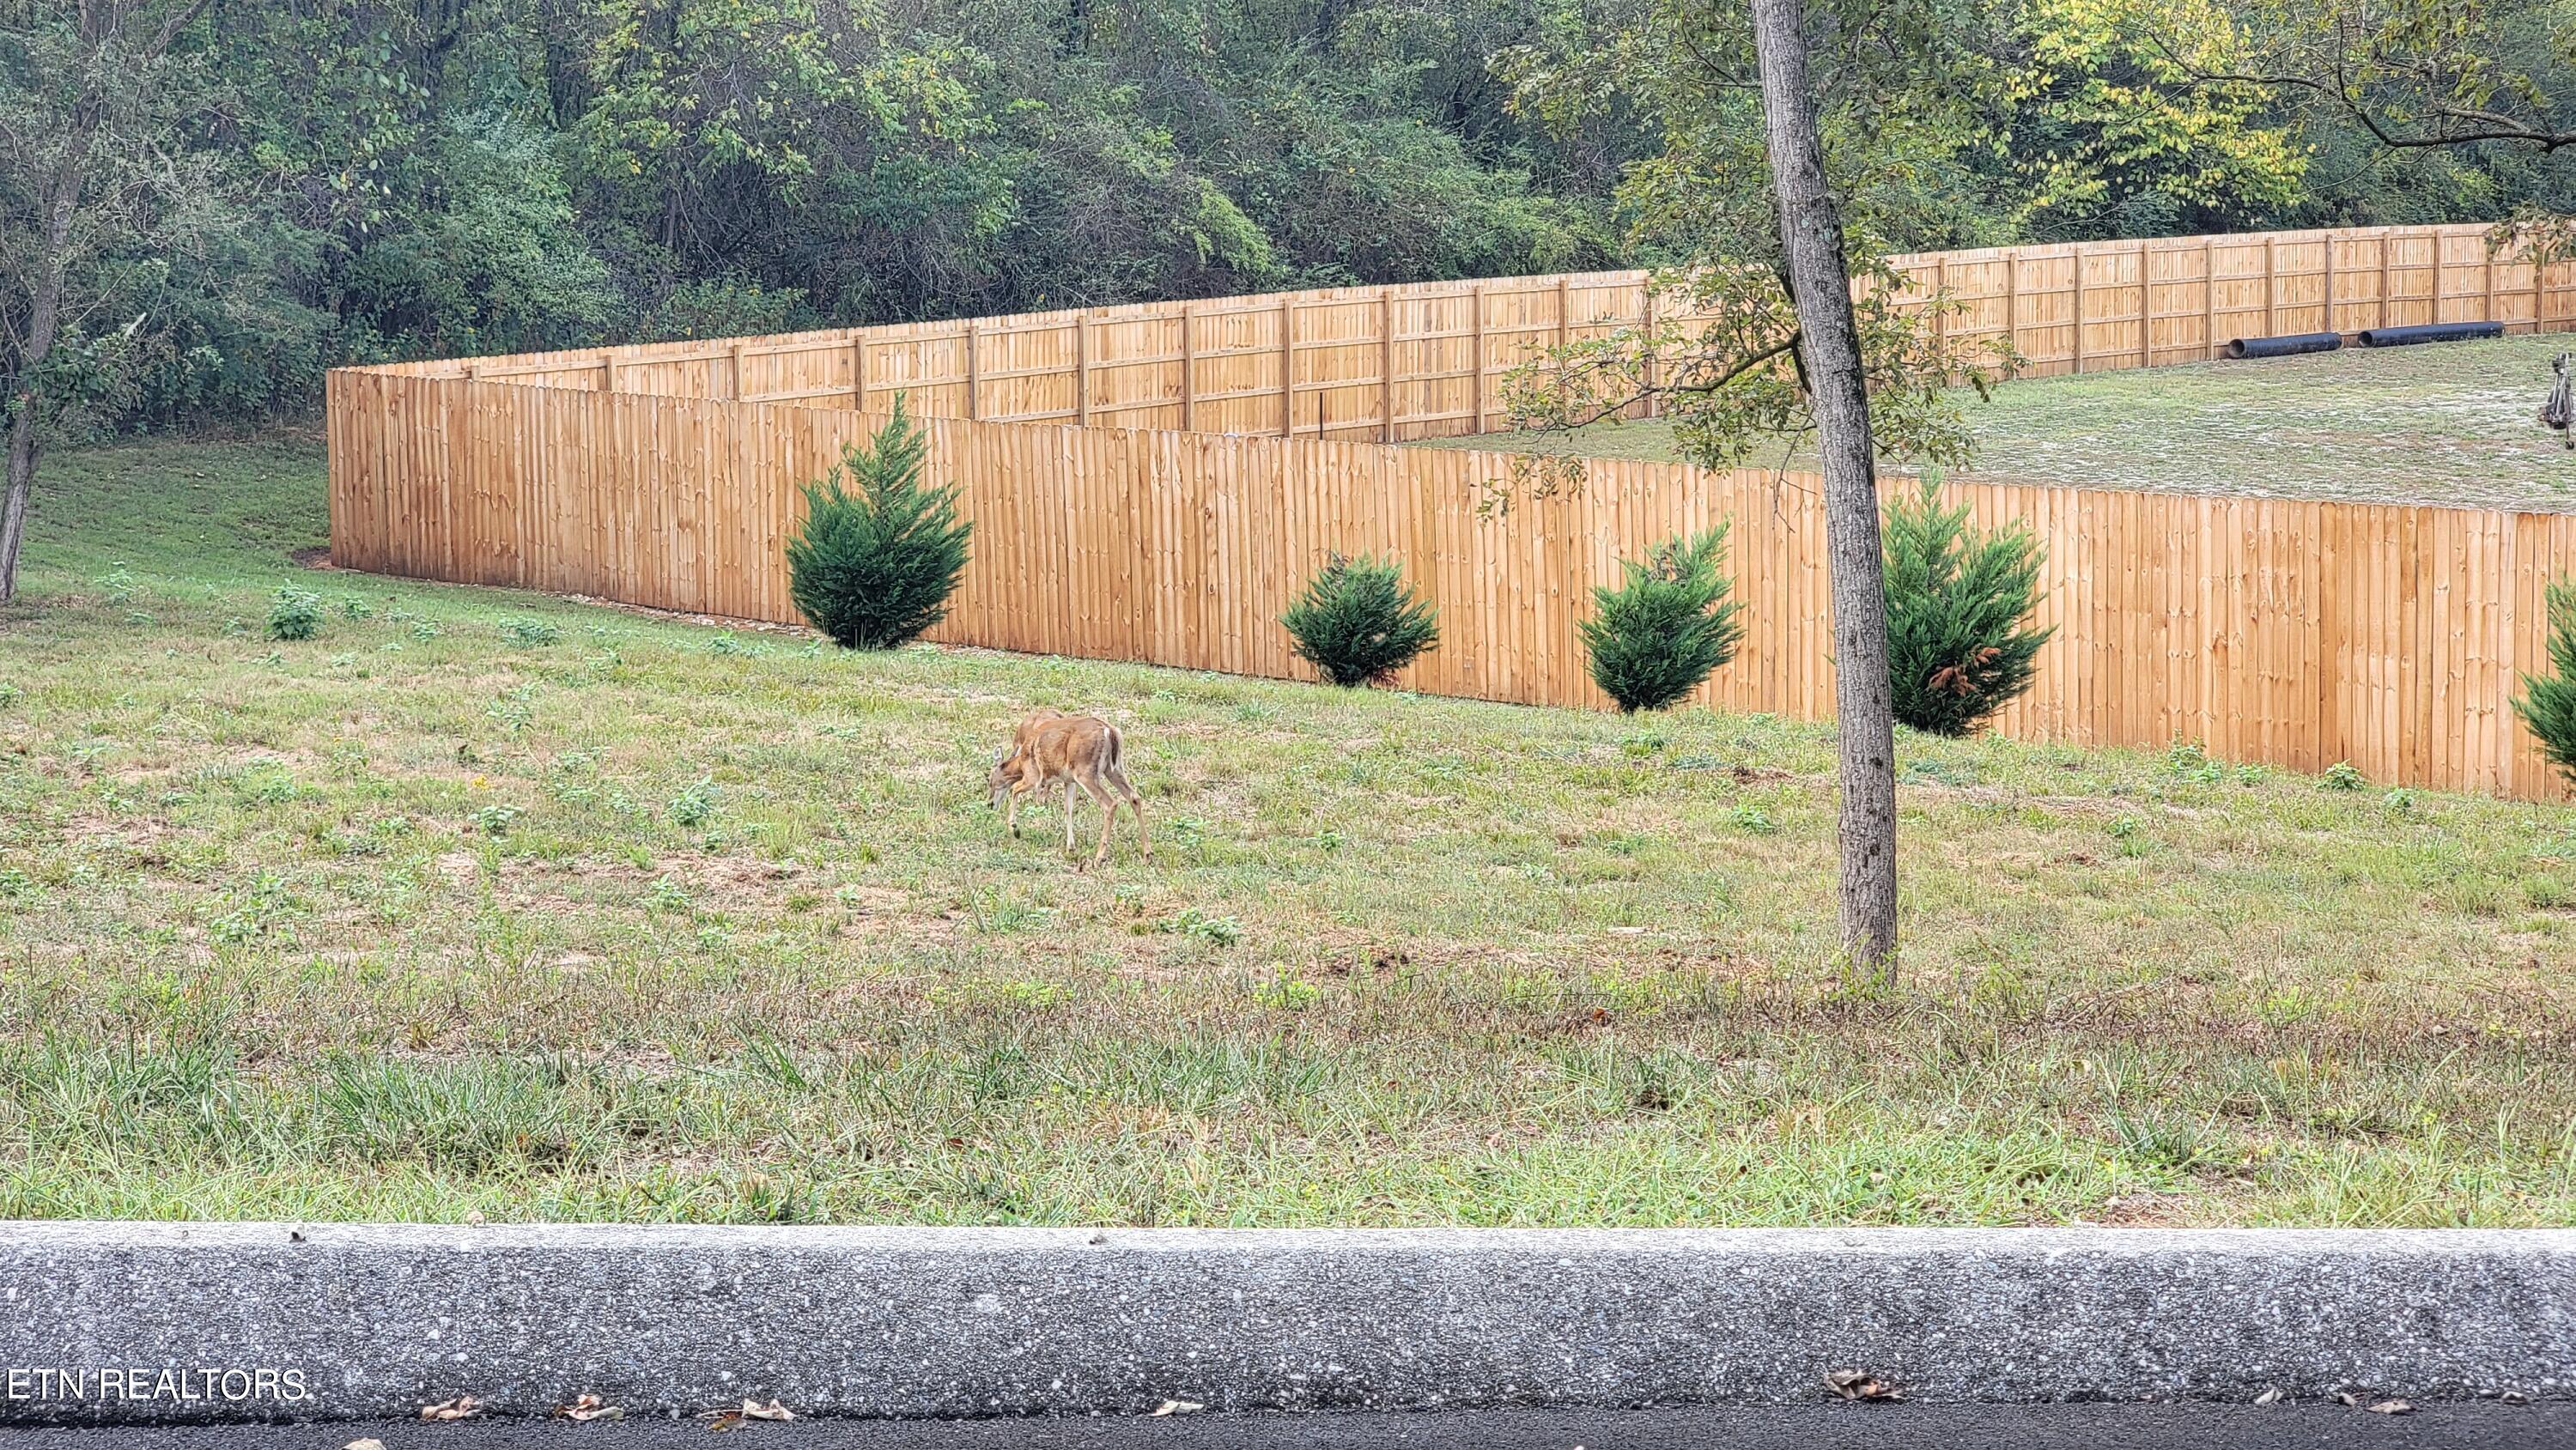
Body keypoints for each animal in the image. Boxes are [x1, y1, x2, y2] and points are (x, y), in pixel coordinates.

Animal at [987, 710, 1152, 868]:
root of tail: (1109, 731)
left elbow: (1014, 788)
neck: (1020, 763)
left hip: (1085, 772)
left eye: (989, 779)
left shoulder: (1033, 777)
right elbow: (1068, 809)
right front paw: (1070, 847)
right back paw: (1147, 855)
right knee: (1134, 797)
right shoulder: (1068, 781)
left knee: (1110, 803)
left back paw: (1099, 858)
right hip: (1114, 768)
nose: (990, 803)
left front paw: (1014, 828)